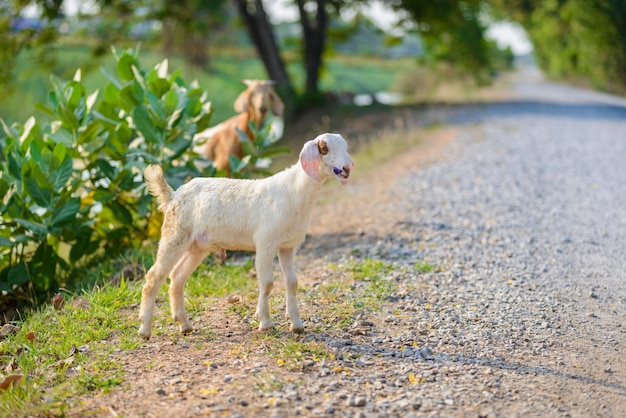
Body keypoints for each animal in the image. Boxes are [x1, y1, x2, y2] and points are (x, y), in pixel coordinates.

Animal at [138, 134, 352, 340]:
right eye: (324, 148)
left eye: (345, 146)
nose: (346, 168)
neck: (294, 192)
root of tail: (172, 195)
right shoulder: (265, 242)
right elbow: (267, 282)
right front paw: (265, 323)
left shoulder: (288, 245)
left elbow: (292, 282)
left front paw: (297, 324)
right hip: (174, 234)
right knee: (153, 277)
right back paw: (144, 330)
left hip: (198, 245)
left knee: (177, 277)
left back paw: (184, 325)